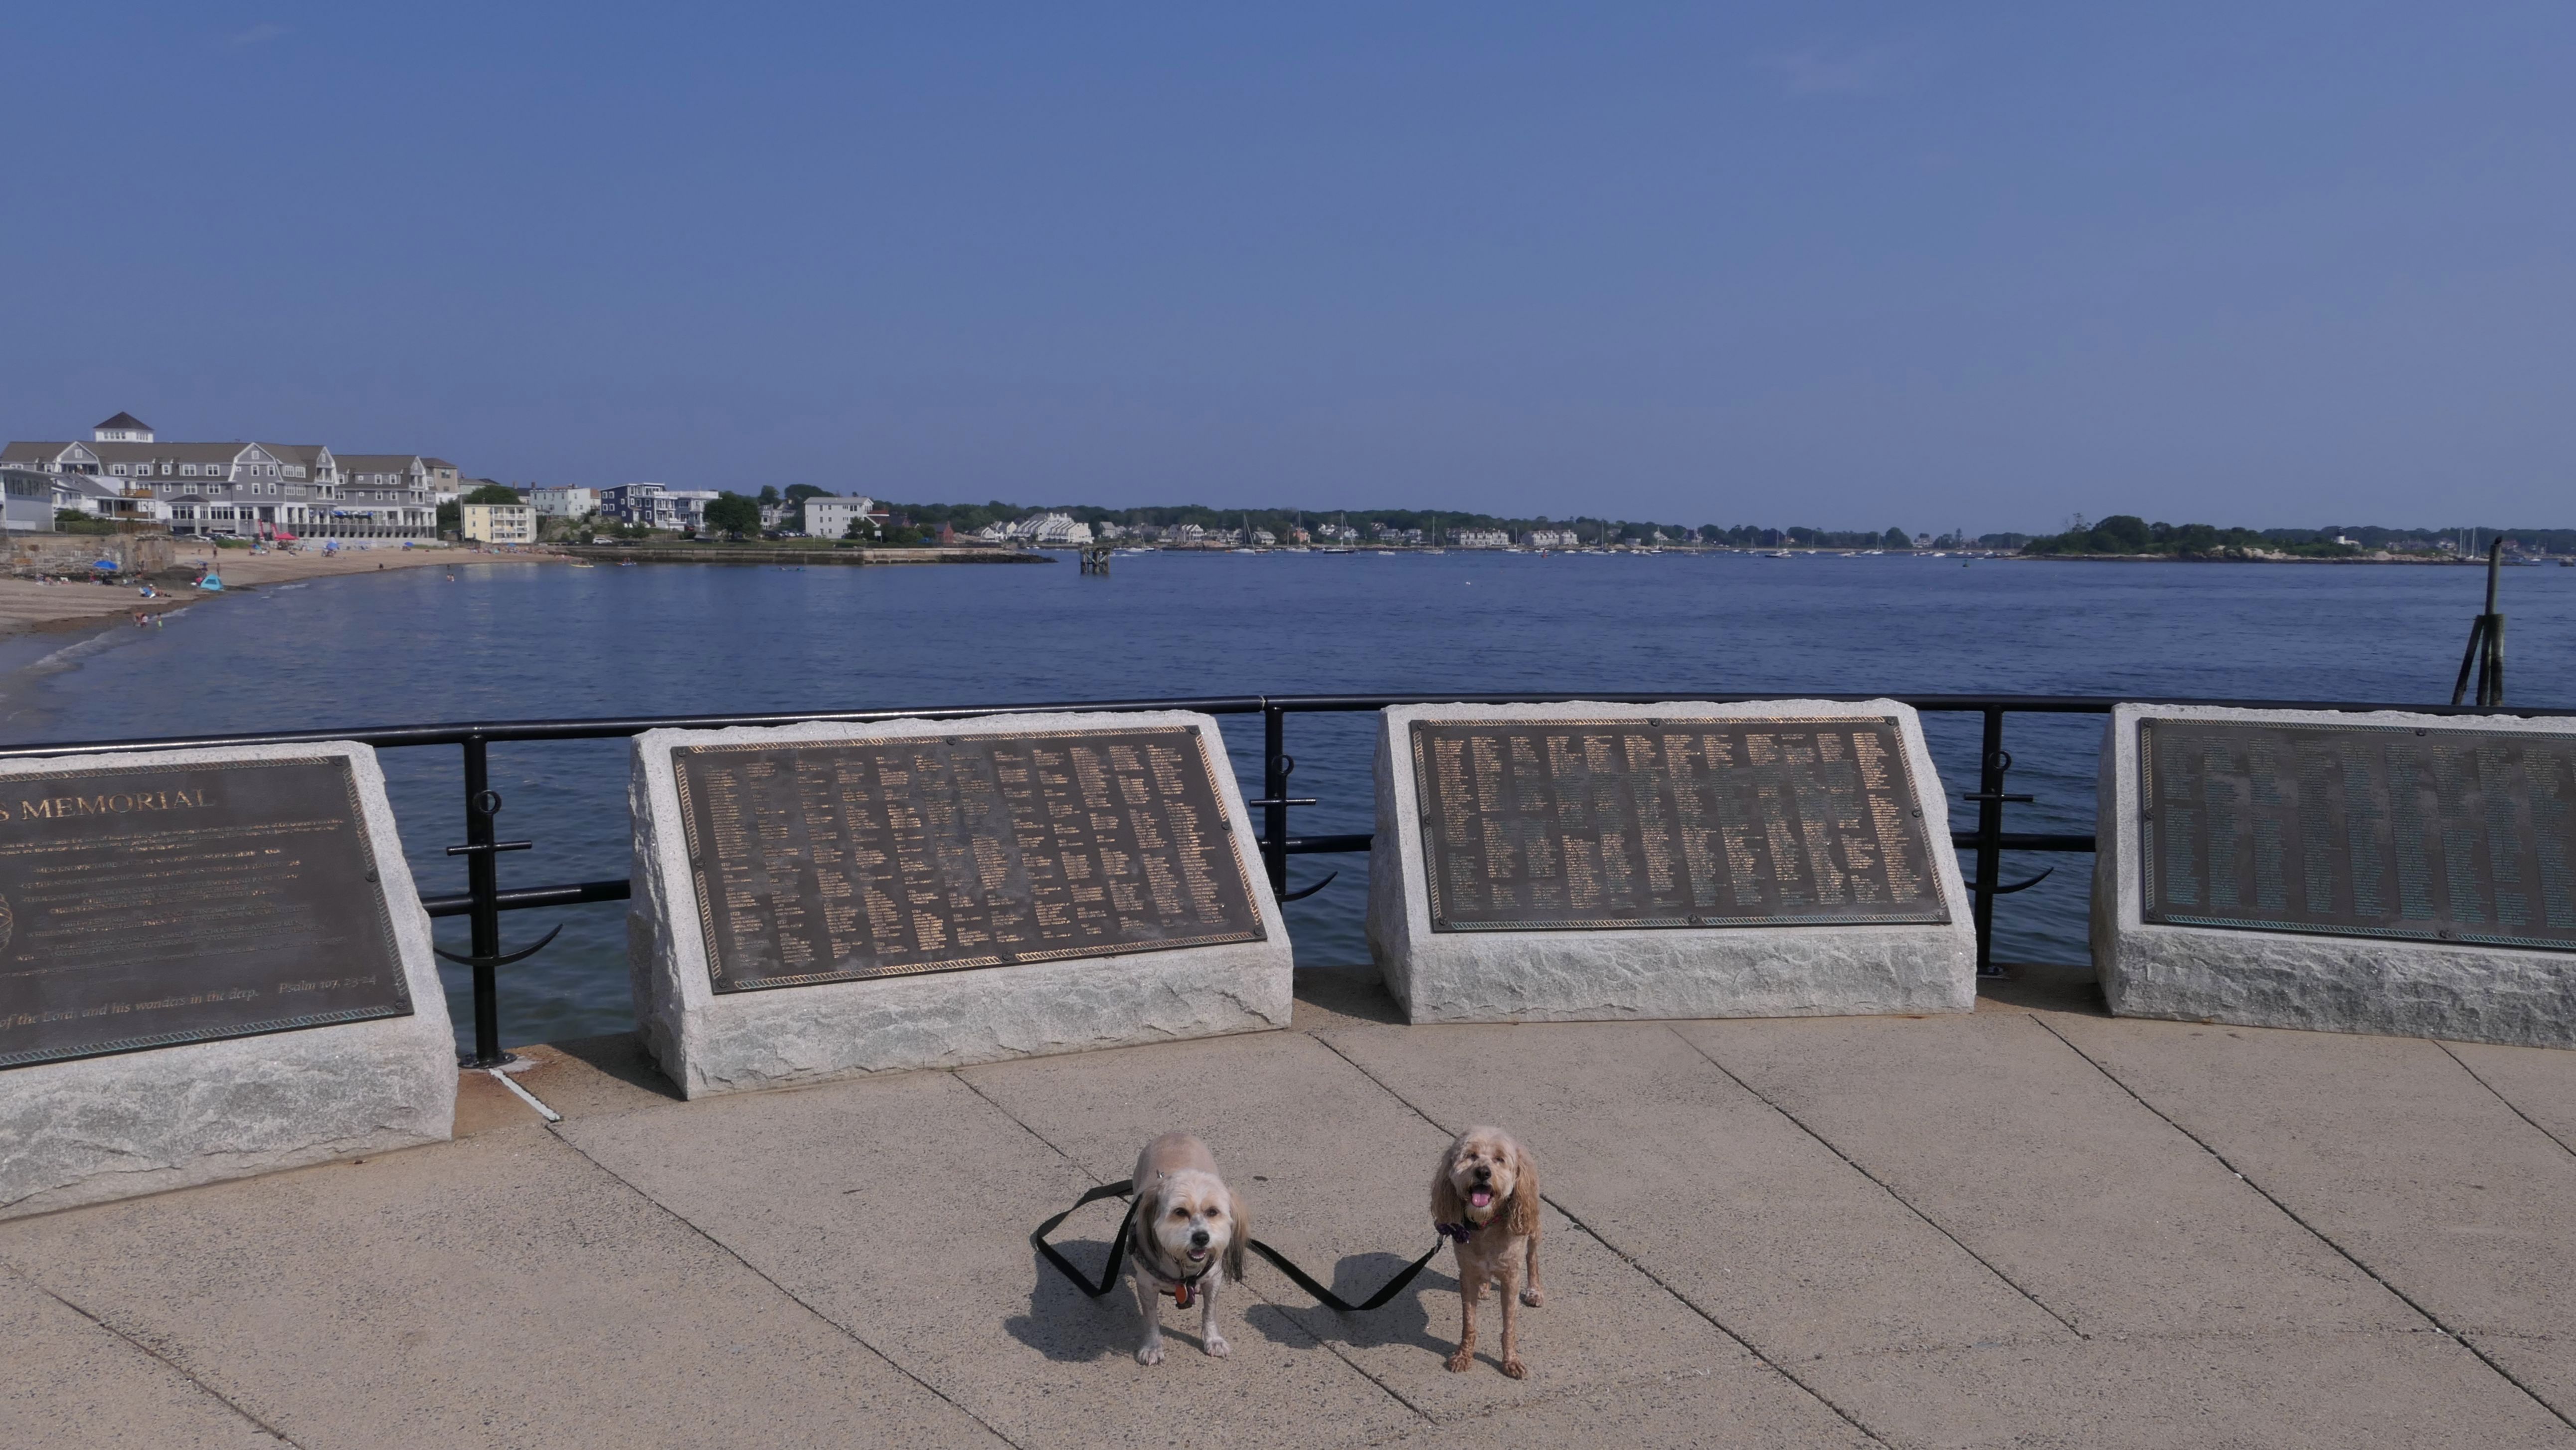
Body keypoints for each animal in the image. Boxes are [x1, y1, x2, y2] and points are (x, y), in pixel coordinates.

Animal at [1125, 1132, 1248, 1365]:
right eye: (1180, 1212)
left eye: (1213, 1212)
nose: (1201, 1238)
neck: (1182, 1266)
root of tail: (1174, 1134)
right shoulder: (1145, 1284)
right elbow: (1151, 1318)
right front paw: (1152, 1346)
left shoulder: (1214, 1278)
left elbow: (1209, 1312)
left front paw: (1213, 1339)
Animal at [1431, 1126, 1544, 1378]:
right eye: (1471, 1156)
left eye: (1500, 1159)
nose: (1483, 1172)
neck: (1486, 1225)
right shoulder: (1467, 1274)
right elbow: (1469, 1323)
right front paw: (1464, 1356)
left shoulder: (1511, 1278)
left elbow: (1509, 1326)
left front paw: (1511, 1361)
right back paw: (1485, 1286)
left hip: (1532, 1225)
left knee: (1532, 1258)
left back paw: (1535, 1291)